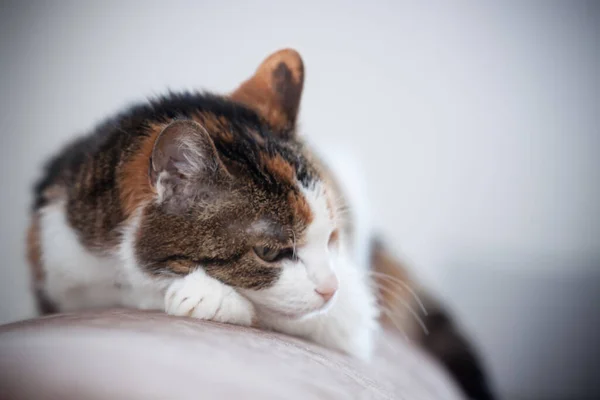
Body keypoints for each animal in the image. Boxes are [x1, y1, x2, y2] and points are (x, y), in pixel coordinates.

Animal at [28, 48, 494, 398]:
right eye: (269, 252)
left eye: (331, 238)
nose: (331, 287)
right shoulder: (55, 262)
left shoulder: (351, 310)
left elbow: (290, 311)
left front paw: (206, 297)